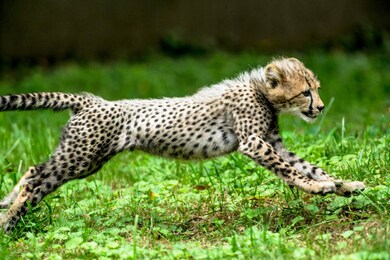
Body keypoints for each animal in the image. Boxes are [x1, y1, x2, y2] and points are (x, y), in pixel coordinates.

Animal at [0, 58, 366, 232]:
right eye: (306, 92)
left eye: (316, 89)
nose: (320, 107)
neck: (262, 92)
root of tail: (92, 100)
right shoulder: (252, 142)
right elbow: (289, 170)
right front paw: (315, 188)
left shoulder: (272, 142)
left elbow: (308, 165)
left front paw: (343, 185)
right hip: (81, 157)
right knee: (36, 178)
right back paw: (10, 220)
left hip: (83, 159)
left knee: (34, 172)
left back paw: (7, 210)